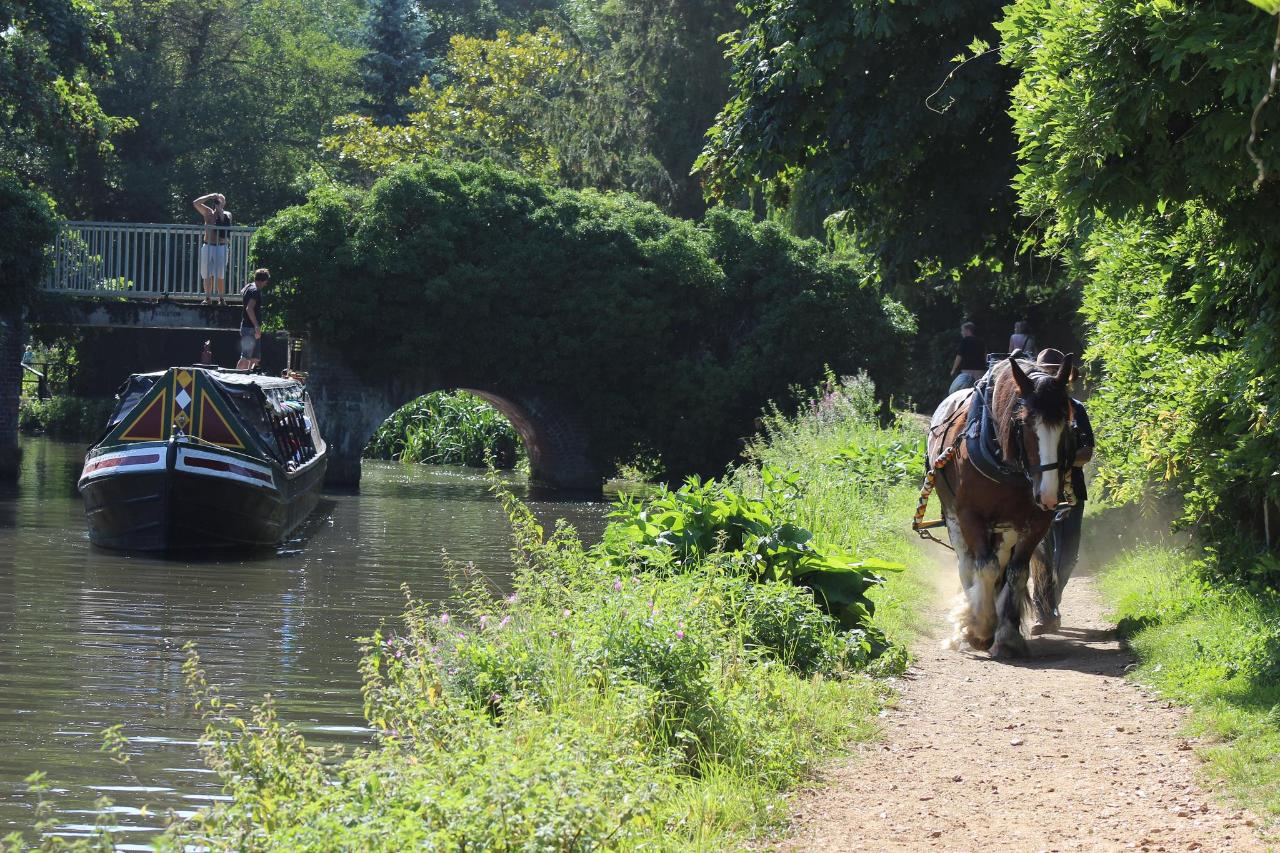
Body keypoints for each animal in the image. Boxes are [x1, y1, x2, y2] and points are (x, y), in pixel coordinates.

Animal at [931, 356, 1070, 653]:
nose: (1048, 494)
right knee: (967, 563)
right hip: (953, 516)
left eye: (1066, 421)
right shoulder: (970, 515)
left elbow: (1017, 572)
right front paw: (980, 629)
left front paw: (1007, 634)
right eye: (1024, 422)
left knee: (1002, 561)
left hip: (1006, 527)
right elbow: (985, 568)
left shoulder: (1035, 522)